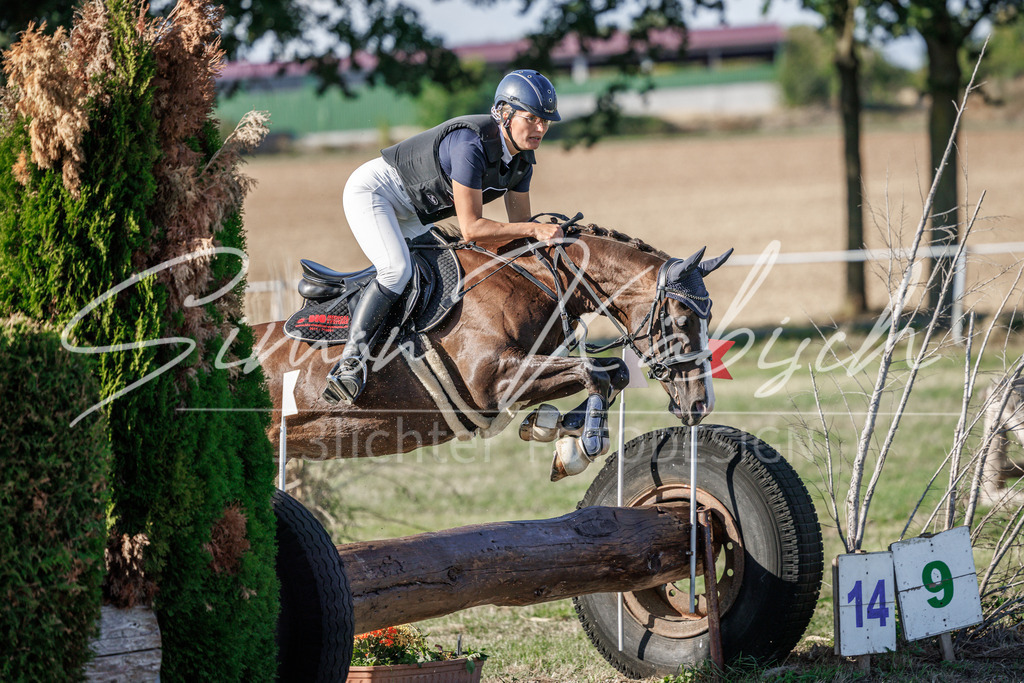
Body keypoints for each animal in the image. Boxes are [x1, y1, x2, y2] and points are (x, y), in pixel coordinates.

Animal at [251, 221, 732, 480]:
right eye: (683, 320)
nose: (699, 405)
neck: (534, 280)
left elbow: (613, 371)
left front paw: (558, 432)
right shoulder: (493, 381)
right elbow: (594, 372)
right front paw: (583, 443)